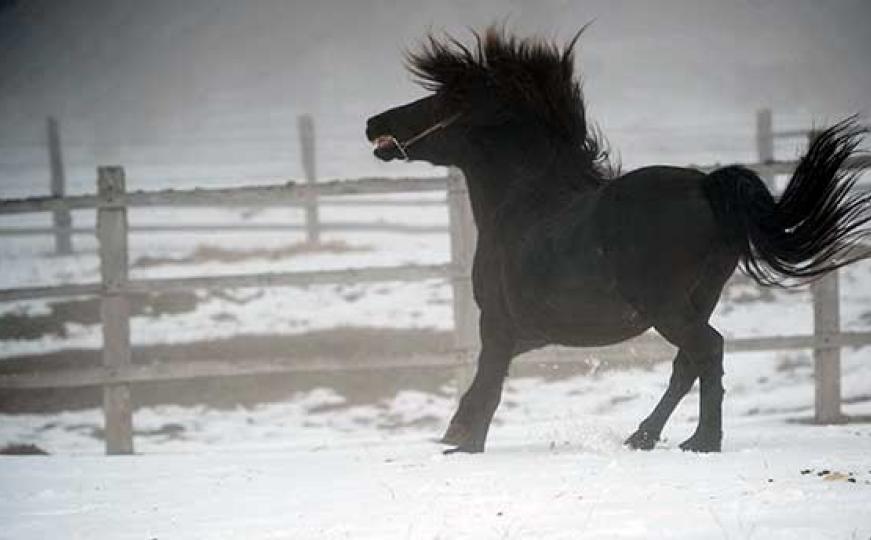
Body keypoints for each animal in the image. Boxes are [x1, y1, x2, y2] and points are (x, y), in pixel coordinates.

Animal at [364, 27, 868, 454]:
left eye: (437, 103)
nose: (373, 123)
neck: (523, 203)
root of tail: (706, 186)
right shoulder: (531, 331)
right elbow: (484, 379)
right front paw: (457, 431)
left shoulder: (498, 322)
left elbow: (488, 380)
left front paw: (466, 444)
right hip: (699, 298)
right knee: (687, 363)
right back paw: (644, 437)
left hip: (665, 306)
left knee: (707, 350)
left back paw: (702, 441)